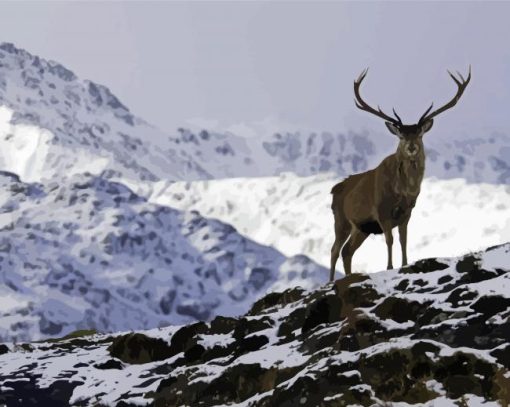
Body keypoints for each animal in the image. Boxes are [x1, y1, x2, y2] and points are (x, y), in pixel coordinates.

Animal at [330, 67, 470, 284]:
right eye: (401, 135)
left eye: (420, 133)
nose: (411, 147)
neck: (403, 191)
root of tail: (334, 189)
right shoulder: (381, 210)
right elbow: (390, 240)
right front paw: (389, 267)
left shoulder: (407, 212)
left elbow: (404, 239)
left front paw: (404, 264)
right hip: (341, 219)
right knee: (334, 250)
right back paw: (329, 281)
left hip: (361, 227)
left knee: (347, 251)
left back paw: (349, 276)